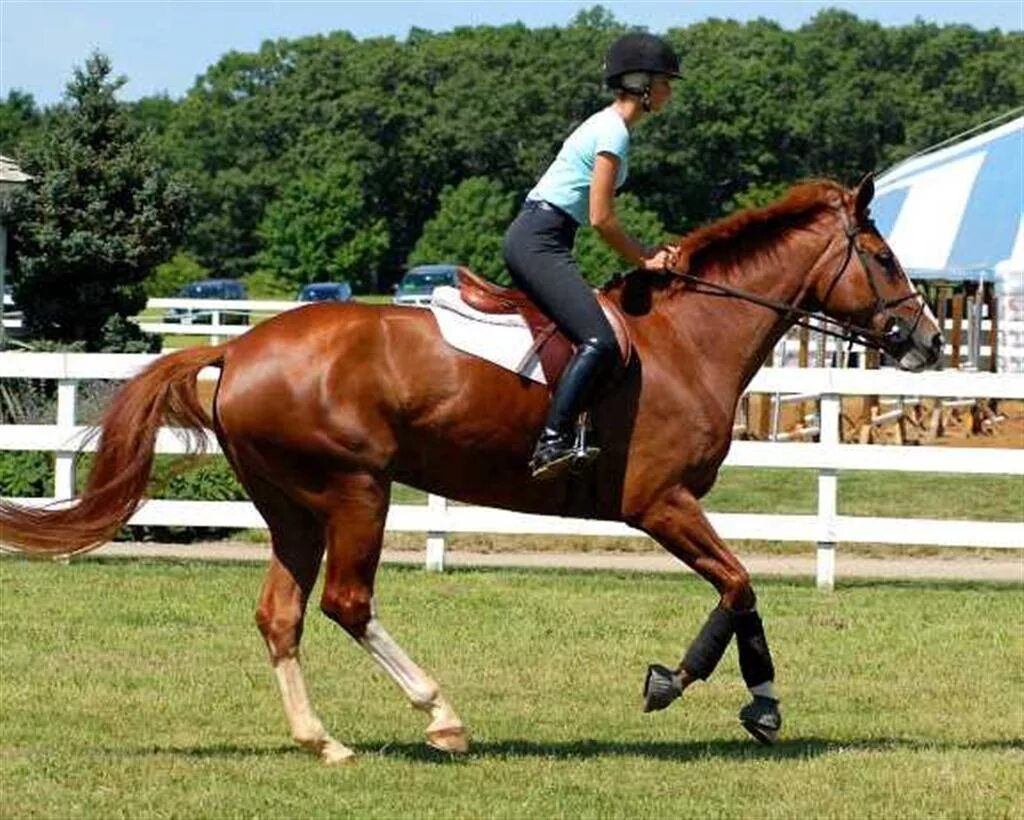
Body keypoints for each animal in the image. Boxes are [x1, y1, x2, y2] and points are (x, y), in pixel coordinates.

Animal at [0, 176, 942, 765]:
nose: (928, 341)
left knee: (281, 615)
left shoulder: (667, 507)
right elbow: (740, 584)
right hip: (357, 491)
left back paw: (323, 740)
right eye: (885, 259)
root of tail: (237, 348)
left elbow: (738, 586)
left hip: (292, 508)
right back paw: (442, 718)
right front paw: (726, 694)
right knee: (347, 603)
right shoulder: (659, 502)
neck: (687, 340)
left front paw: (717, 690)